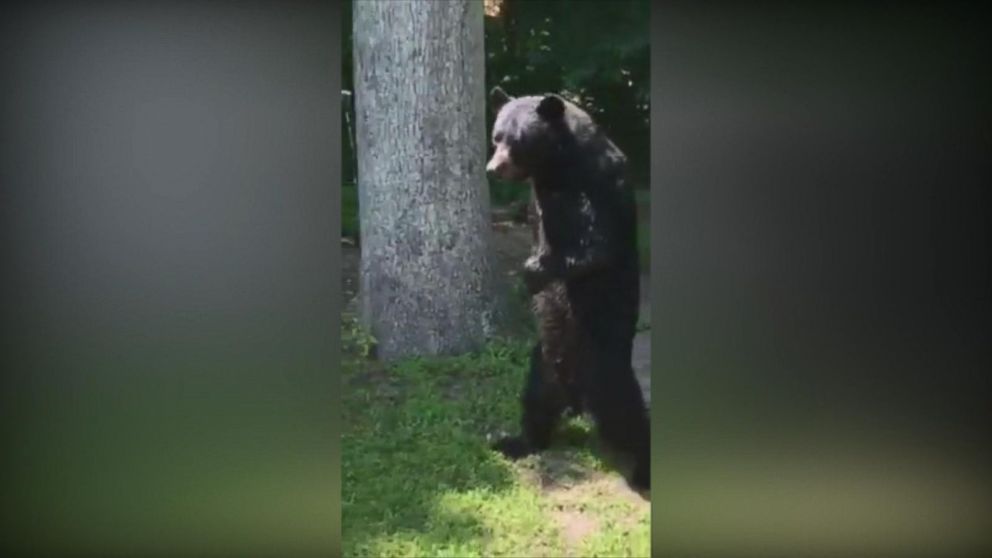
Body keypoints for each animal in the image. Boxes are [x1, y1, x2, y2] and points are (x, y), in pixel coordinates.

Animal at [482, 85, 652, 492]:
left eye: (517, 140)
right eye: (496, 137)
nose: (492, 168)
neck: (557, 166)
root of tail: (573, 392)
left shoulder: (594, 185)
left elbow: (594, 245)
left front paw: (532, 272)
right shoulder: (539, 195)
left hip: (605, 366)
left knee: (627, 416)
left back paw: (644, 470)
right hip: (542, 361)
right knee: (535, 402)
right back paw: (515, 441)